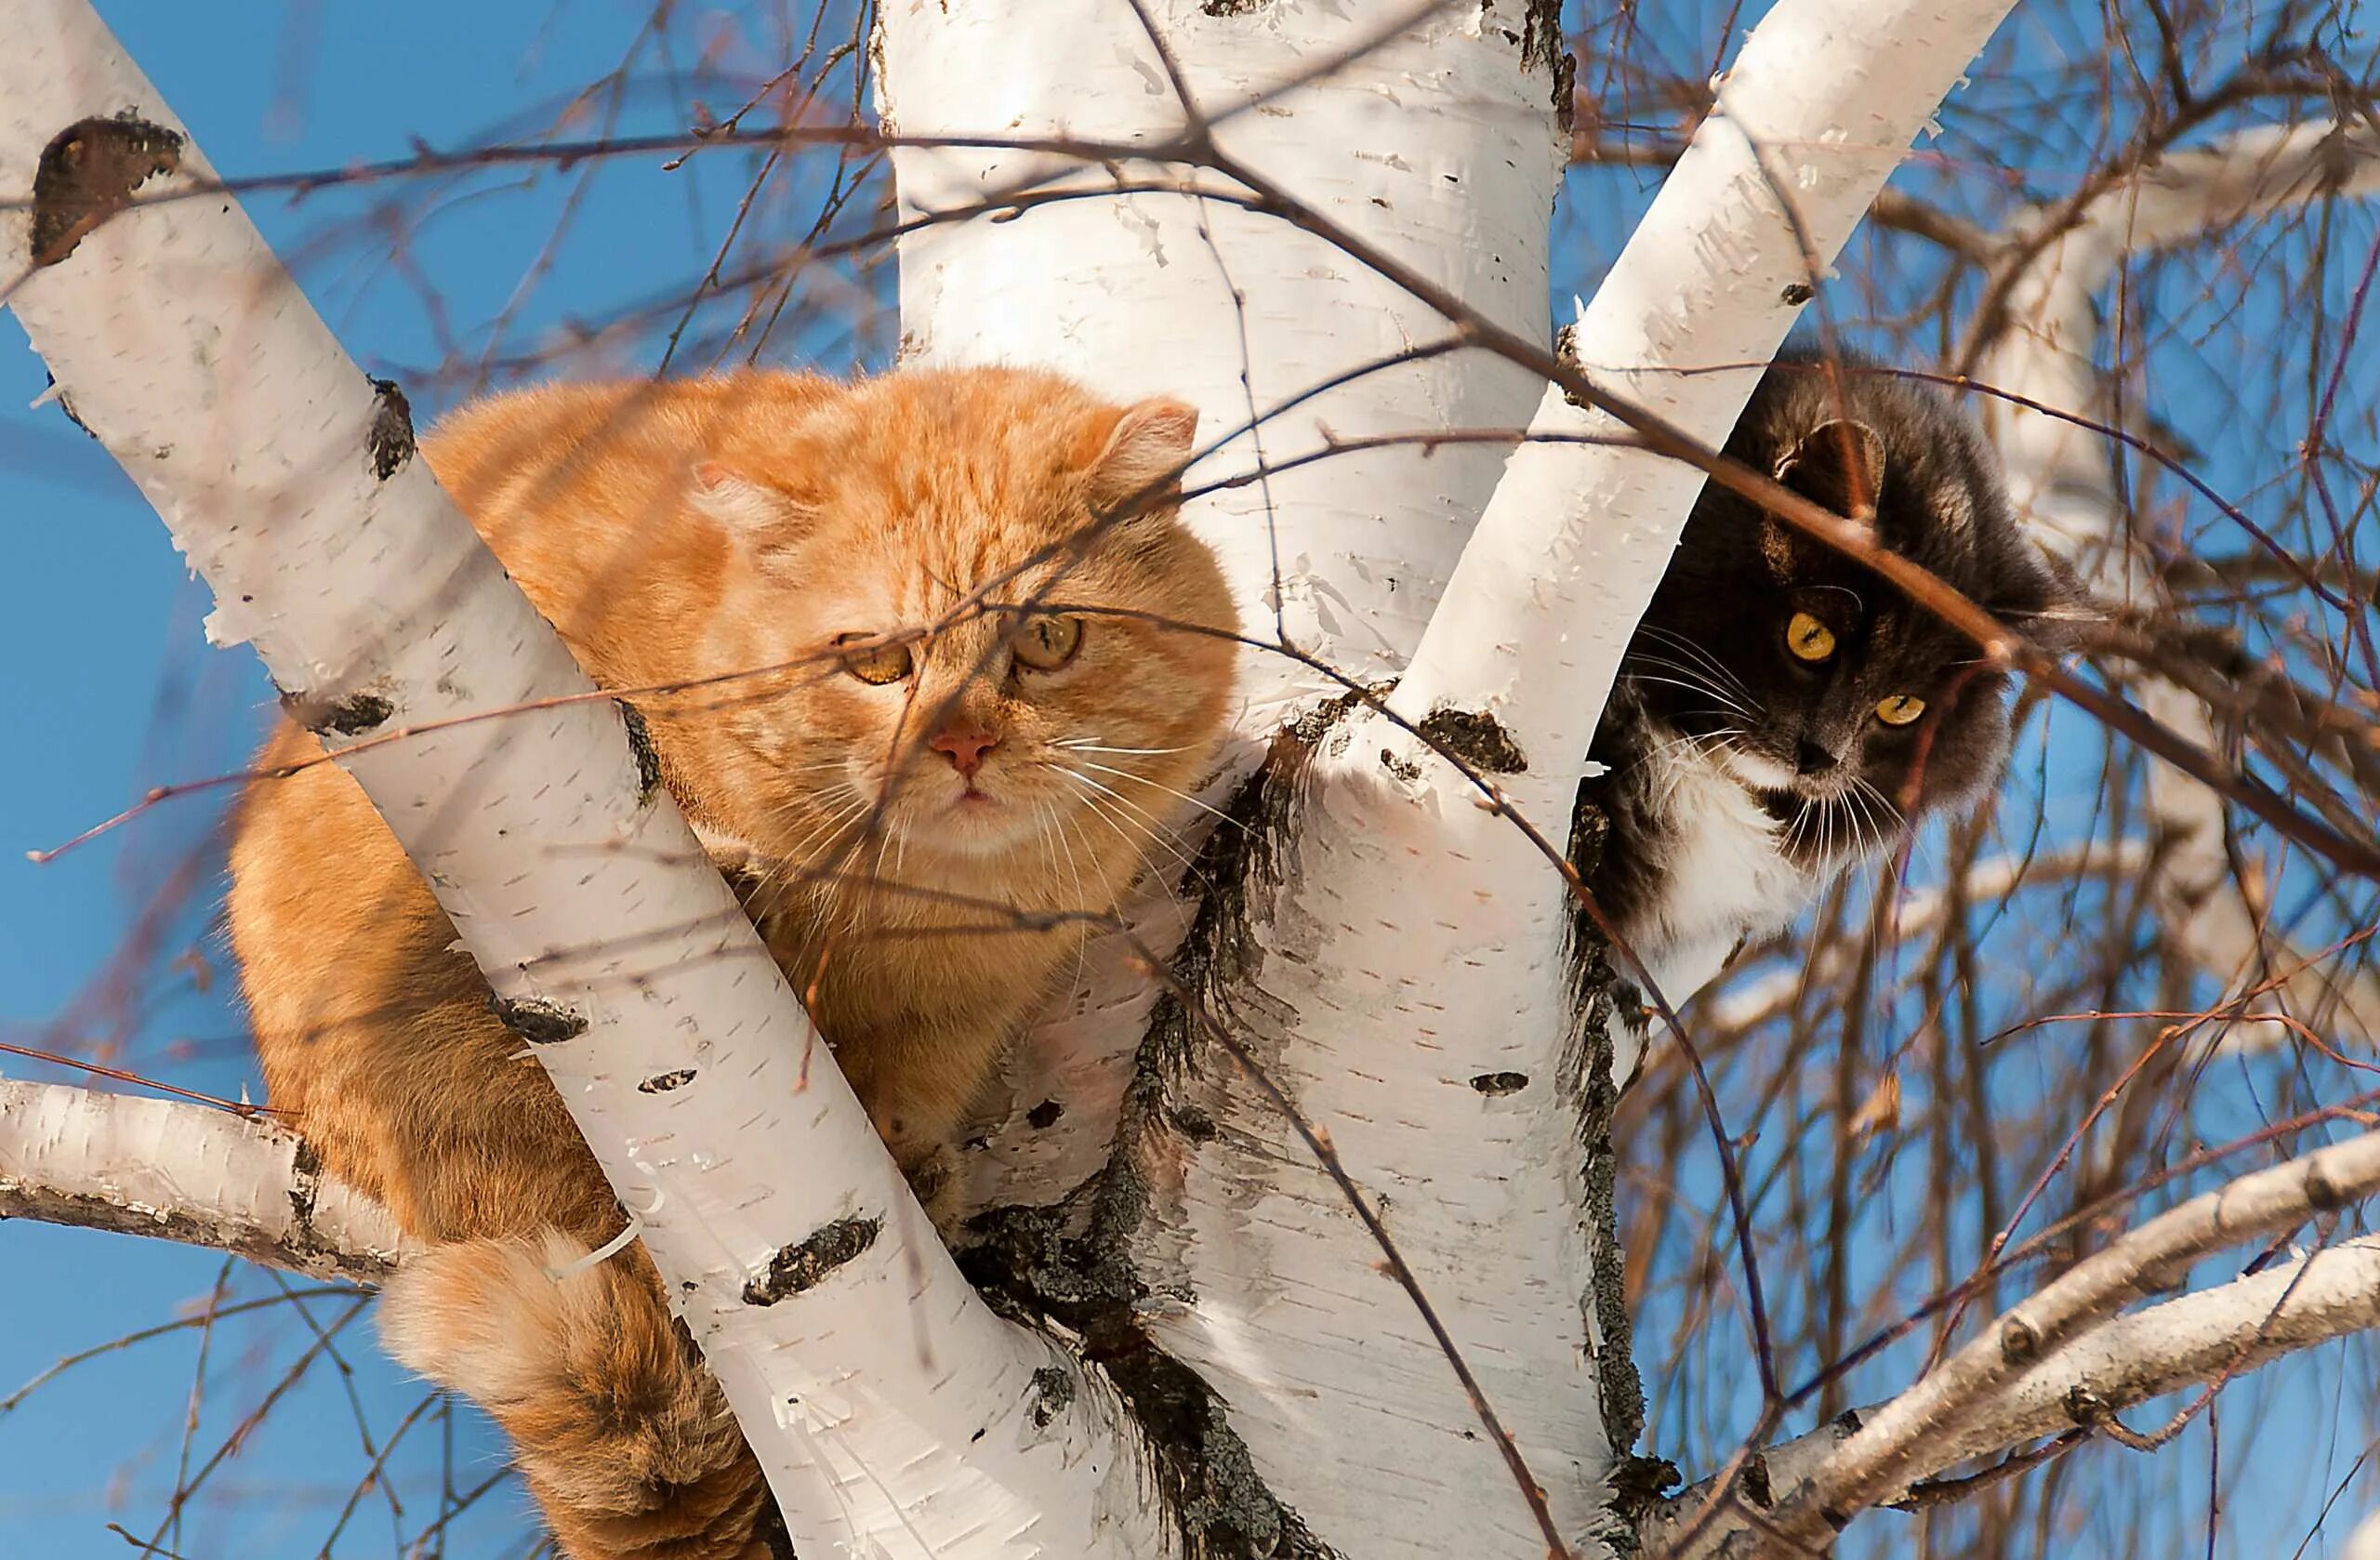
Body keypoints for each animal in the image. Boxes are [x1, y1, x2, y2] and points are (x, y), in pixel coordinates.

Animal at [218, 371, 1247, 1560]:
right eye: (877, 659)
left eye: (1045, 638)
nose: (962, 743)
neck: (923, 918)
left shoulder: (953, 1024)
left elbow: (912, 1093)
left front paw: (913, 1160)